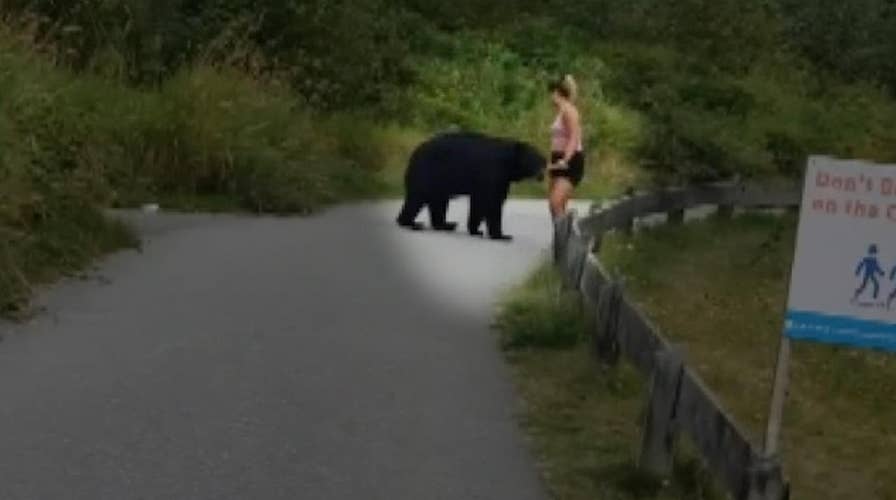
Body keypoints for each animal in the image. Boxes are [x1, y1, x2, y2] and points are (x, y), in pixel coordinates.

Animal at [396, 131, 546, 241]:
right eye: (534, 159)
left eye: (542, 160)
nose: (542, 174)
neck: (508, 164)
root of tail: (413, 154)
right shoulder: (493, 172)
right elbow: (493, 203)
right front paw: (501, 235)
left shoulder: (500, 180)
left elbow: (478, 203)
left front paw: (476, 230)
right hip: (426, 174)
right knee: (416, 199)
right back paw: (412, 223)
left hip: (438, 183)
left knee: (439, 202)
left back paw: (447, 225)